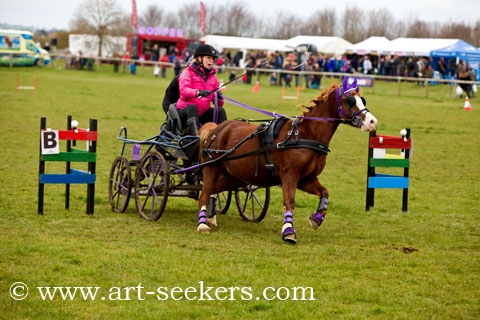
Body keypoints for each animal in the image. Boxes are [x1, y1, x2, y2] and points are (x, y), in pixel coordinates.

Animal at [197, 79, 376, 244]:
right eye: (350, 100)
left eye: (362, 100)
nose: (372, 121)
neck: (304, 135)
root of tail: (216, 129)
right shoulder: (289, 176)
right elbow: (289, 202)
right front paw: (288, 231)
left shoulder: (306, 179)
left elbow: (324, 192)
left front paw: (317, 218)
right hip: (212, 168)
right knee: (204, 193)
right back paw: (202, 224)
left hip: (234, 176)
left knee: (214, 190)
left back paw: (211, 216)